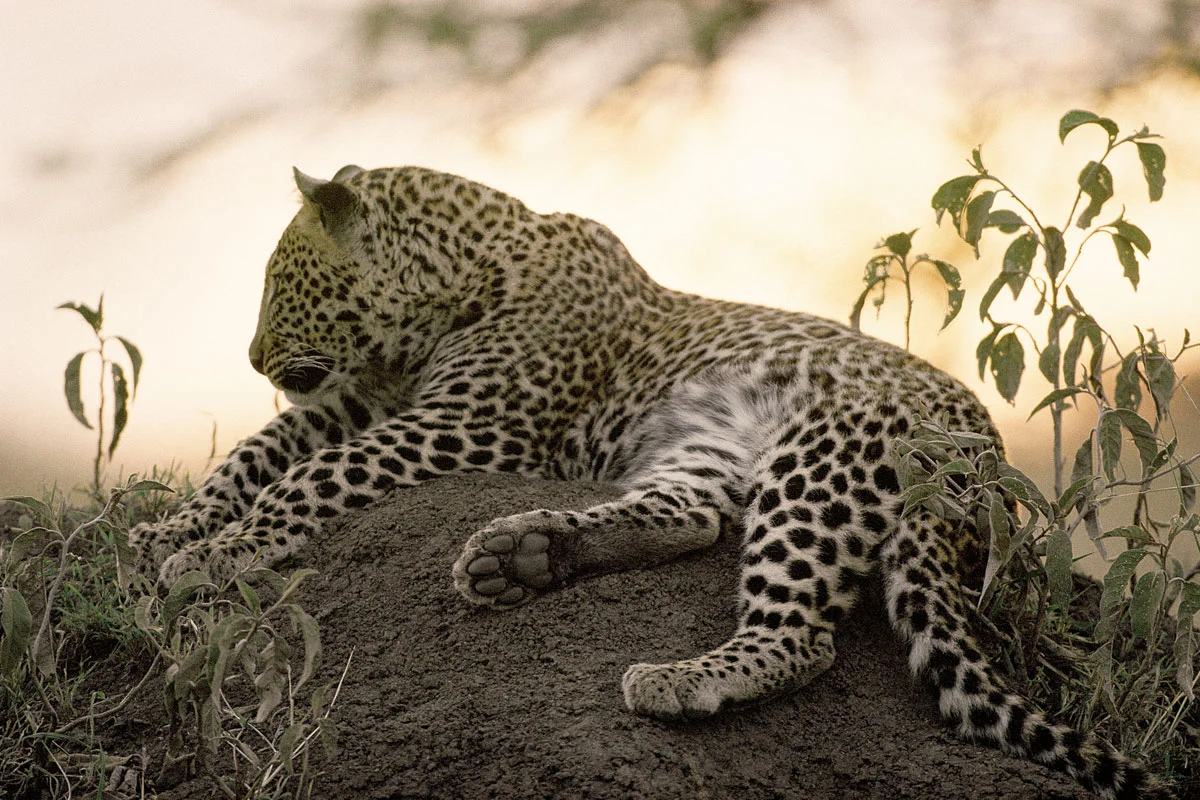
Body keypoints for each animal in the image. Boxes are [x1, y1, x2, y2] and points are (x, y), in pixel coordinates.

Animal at [130, 164, 1167, 799]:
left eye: (279, 281)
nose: (252, 354)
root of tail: (981, 447)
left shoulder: (462, 424)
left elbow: (314, 476)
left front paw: (225, 551)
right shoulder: (355, 402)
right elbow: (255, 454)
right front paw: (165, 532)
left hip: (822, 460)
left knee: (802, 636)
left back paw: (679, 675)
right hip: (708, 445)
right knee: (697, 520)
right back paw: (526, 552)